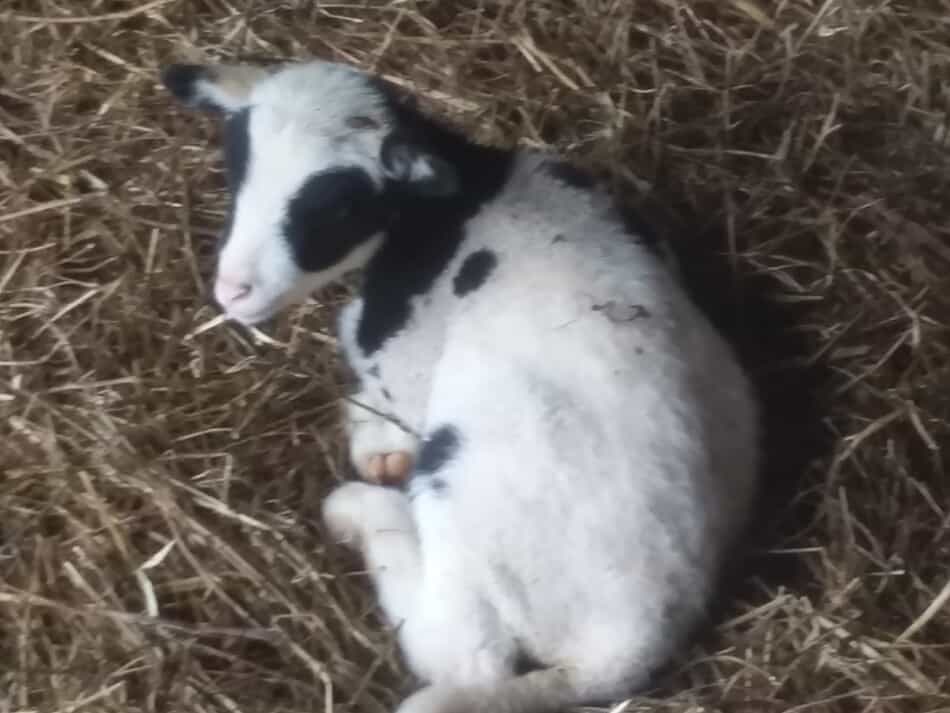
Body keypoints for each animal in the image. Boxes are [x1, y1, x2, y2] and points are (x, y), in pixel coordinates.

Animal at [160, 59, 764, 712]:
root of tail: (622, 648)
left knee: (462, 654)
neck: (463, 197)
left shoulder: (406, 353)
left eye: (337, 205)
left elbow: (379, 386)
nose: (232, 291)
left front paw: (372, 440)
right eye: (236, 175)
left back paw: (358, 512)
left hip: (468, 525)